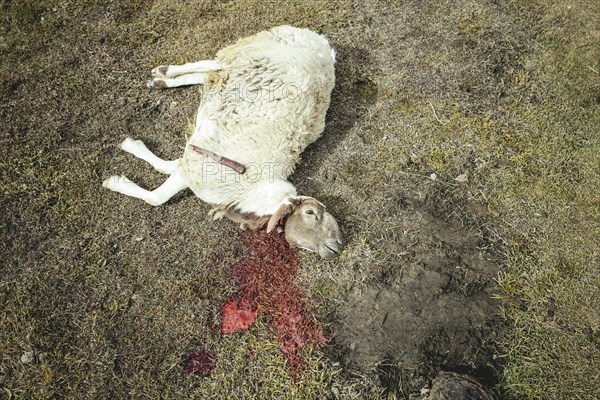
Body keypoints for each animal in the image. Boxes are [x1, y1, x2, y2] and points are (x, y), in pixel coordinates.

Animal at [104, 25, 342, 258]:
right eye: (310, 212)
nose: (337, 246)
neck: (253, 187)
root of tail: (321, 42)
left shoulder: (196, 160)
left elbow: (166, 168)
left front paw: (132, 148)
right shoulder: (198, 168)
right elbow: (156, 197)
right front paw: (115, 180)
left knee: (210, 74)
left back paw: (162, 80)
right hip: (252, 49)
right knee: (210, 64)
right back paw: (165, 72)